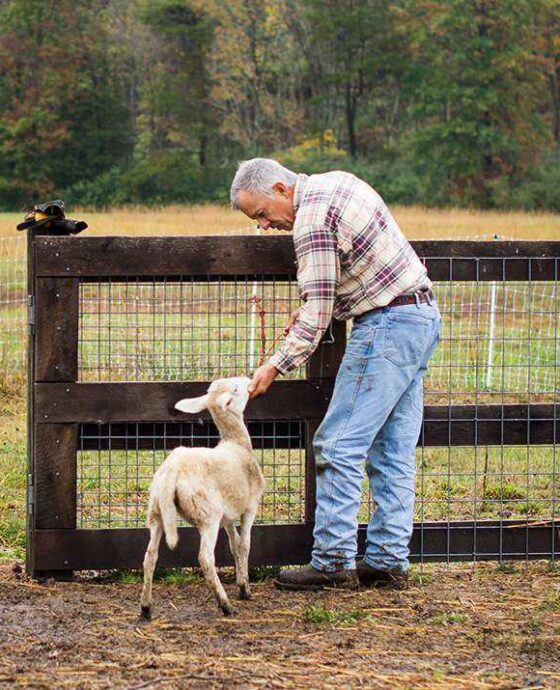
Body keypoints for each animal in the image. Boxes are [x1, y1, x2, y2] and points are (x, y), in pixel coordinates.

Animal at [140, 376, 265, 619]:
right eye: (236, 388)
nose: (249, 380)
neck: (236, 442)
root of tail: (173, 469)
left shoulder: (227, 517)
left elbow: (234, 545)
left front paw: (240, 582)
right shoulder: (249, 507)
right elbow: (245, 544)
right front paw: (245, 588)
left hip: (157, 511)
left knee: (150, 556)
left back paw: (146, 607)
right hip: (208, 514)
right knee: (205, 558)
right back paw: (225, 605)